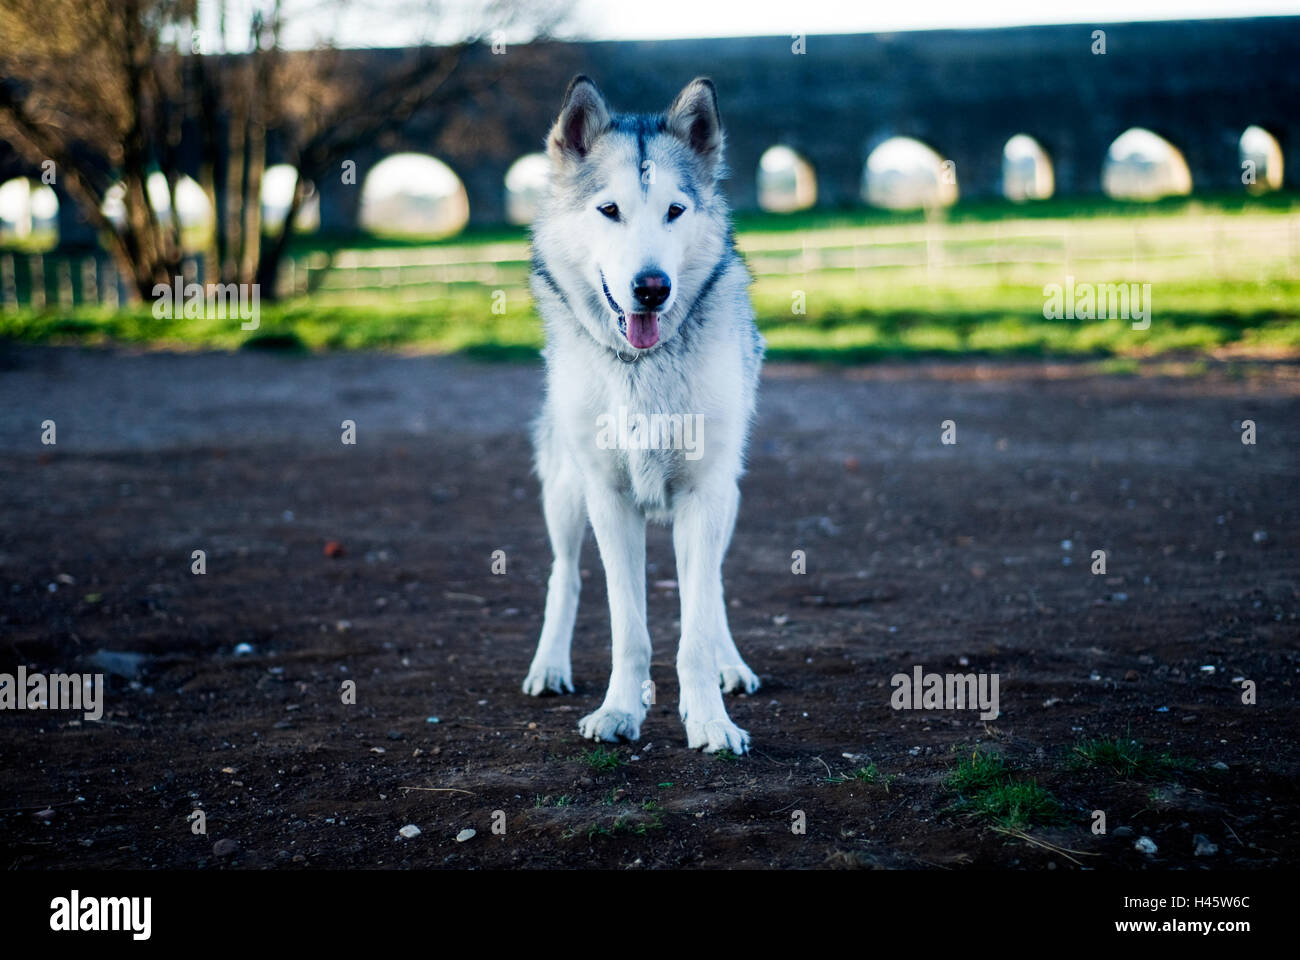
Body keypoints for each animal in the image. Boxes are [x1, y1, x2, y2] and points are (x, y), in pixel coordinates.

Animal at [520, 74, 759, 749]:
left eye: (674, 211)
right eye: (610, 211)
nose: (652, 288)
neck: (641, 370)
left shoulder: (706, 495)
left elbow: (695, 628)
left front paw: (709, 720)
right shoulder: (609, 498)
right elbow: (629, 630)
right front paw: (620, 712)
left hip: (730, 496)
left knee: (715, 589)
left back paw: (732, 665)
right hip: (564, 492)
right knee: (565, 575)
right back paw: (549, 666)